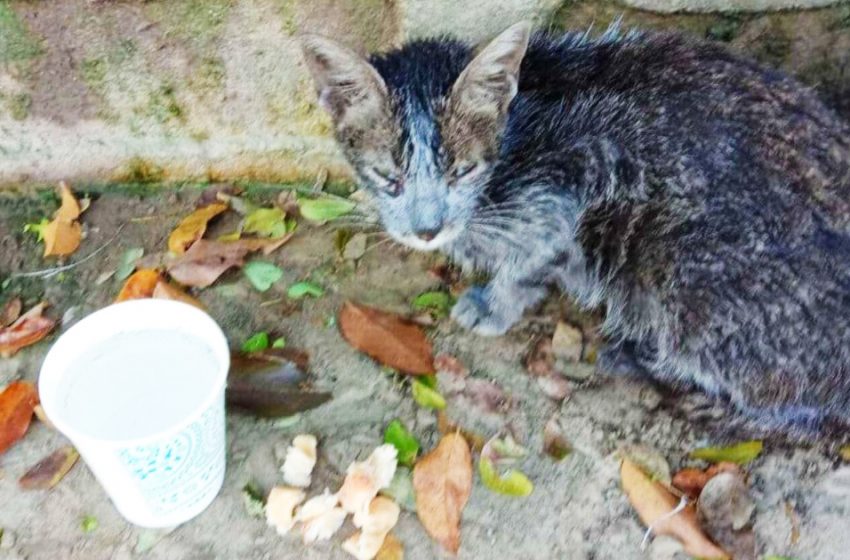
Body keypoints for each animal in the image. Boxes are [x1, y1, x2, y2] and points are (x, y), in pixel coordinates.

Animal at [302, 20, 848, 434]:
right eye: (388, 178)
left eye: (461, 172)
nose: (427, 230)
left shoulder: (584, 173)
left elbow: (532, 257)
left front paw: (495, 303)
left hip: (684, 275)